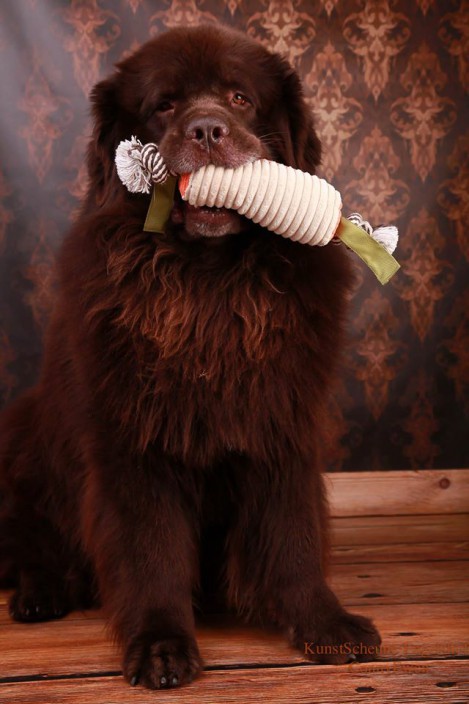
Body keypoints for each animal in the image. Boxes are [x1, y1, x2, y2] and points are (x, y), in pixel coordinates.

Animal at [0, 24, 381, 689]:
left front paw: (323, 623)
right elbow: (149, 548)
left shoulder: (282, 426)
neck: (208, 286)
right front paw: (160, 644)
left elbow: (294, 534)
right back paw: (40, 592)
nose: (206, 130)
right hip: (25, 432)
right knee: (31, 539)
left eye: (239, 98)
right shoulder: (135, 442)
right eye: (165, 105)